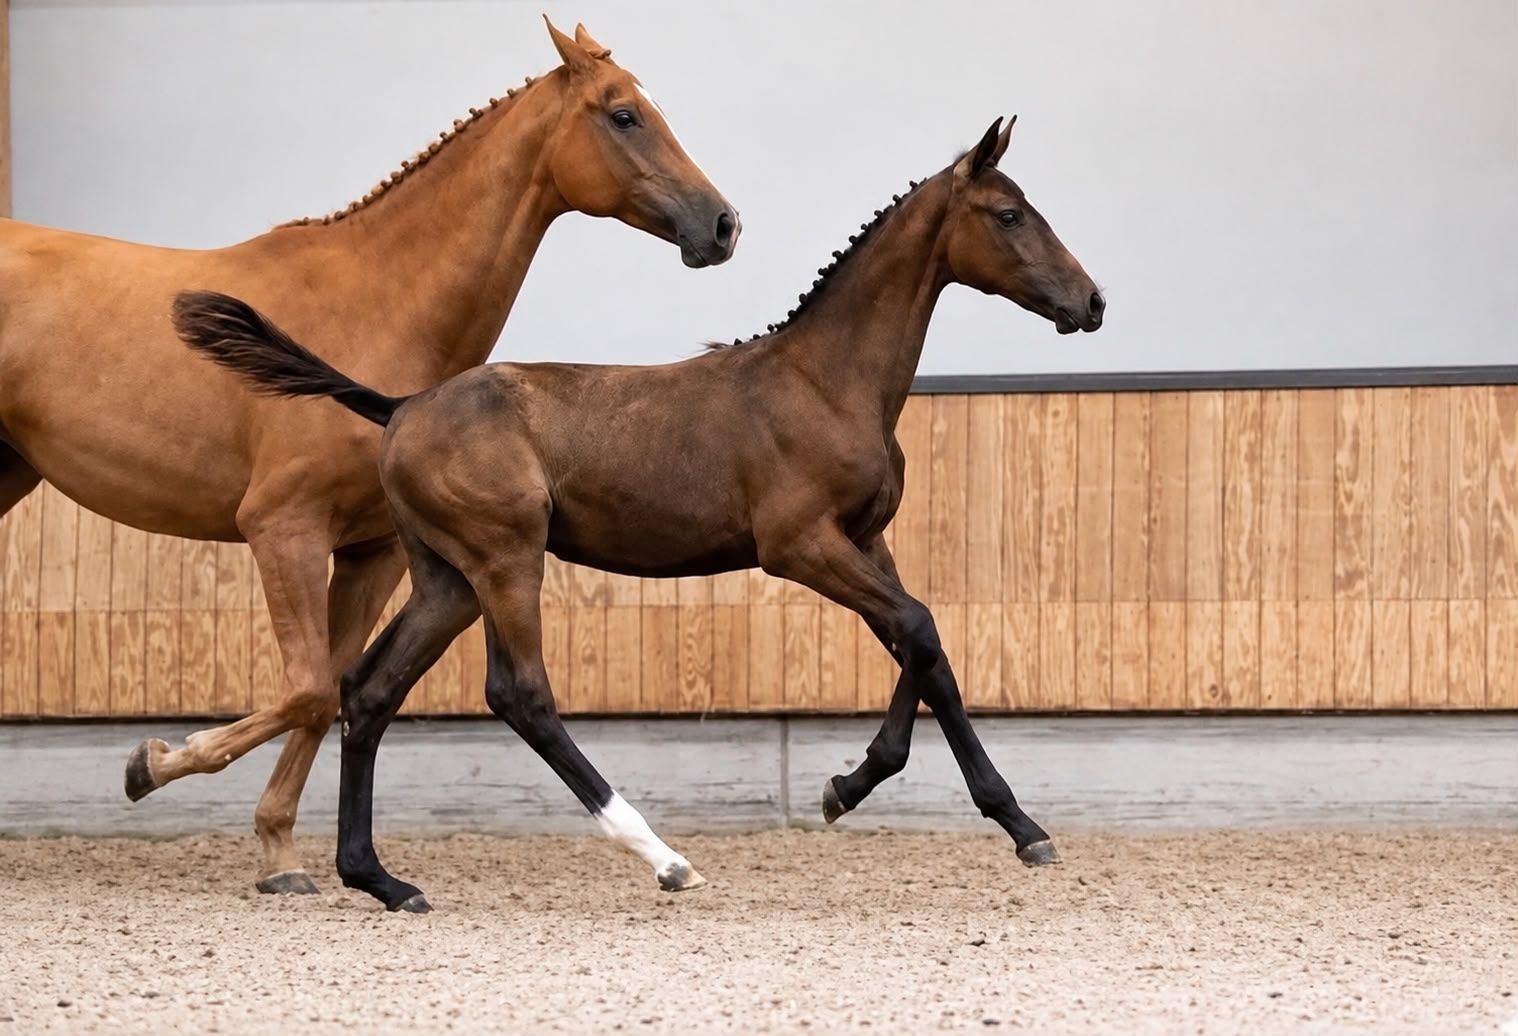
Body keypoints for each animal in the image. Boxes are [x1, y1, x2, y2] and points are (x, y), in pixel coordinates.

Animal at [0, 18, 738, 895]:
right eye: (624, 114)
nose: (722, 224)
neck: (379, 305)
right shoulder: (282, 530)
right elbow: (311, 687)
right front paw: (154, 763)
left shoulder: (371, 551)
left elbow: (334, 690)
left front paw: (281, 859)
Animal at [174, 114, 1103, 911]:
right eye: (1010, 214)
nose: (1091, 302)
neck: (826, 382)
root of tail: (398, 406)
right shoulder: (800, 546)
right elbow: (918, 629)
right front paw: (879, 792)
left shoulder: (868, 541)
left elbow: (925, 646)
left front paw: (940, 806)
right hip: (506, 558)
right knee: (520, 692)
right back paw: (662, 857)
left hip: (447, 578)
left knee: (368, 691)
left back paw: (380, 879)